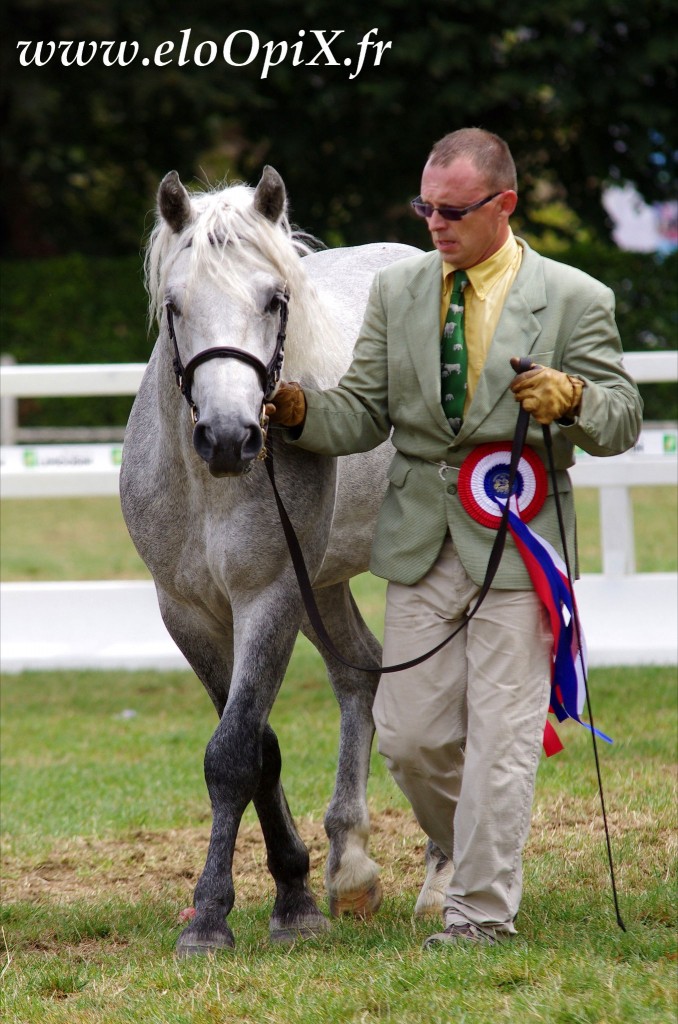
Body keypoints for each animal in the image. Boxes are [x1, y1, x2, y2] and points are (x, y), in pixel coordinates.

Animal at [120, 163, 421, 954]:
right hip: (326, 583)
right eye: (175, 305)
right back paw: (352, 867)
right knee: (359, 673)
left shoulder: (272, 597)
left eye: (275, 298)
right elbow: (258, 748)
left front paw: (221, 916)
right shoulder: (189, 614)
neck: (208, 487)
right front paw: (293, 888)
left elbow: (234, 752)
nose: (228, 438)